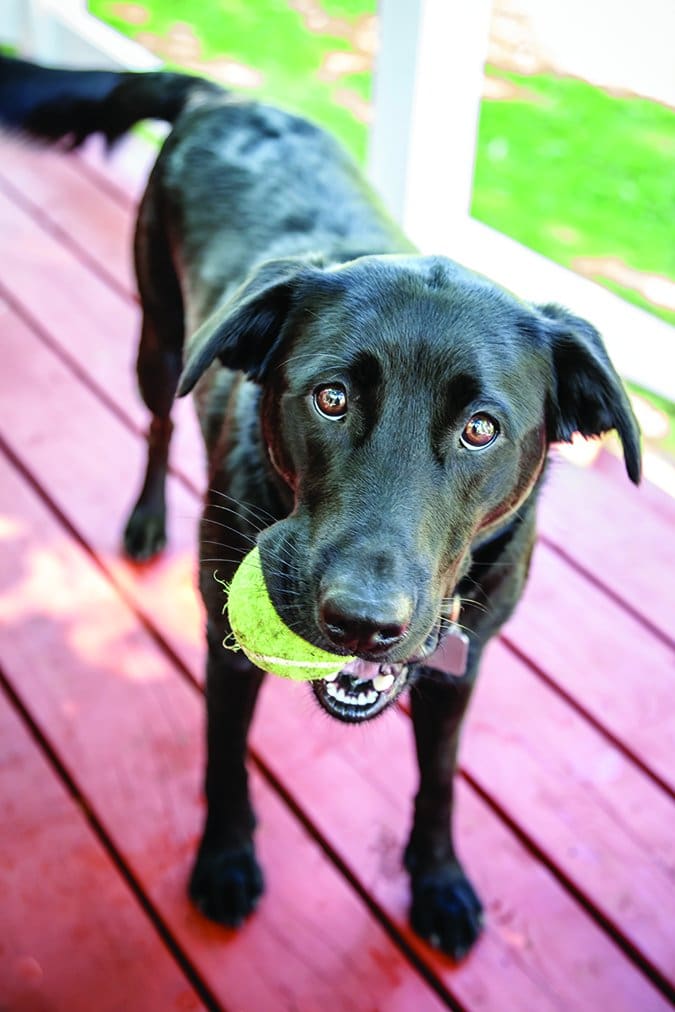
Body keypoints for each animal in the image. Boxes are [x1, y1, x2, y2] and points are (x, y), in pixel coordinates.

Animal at [0, 55, 639, 955]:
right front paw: (225, 861)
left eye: (480, 428)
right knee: (159, 423)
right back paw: (147, 519)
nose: (362, 623)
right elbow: (224, 761)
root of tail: (224, 96)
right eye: (330, 399)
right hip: (159, 336)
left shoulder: (461, 669)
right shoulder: (226, 650)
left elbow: (439, 783)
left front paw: (438, 881)